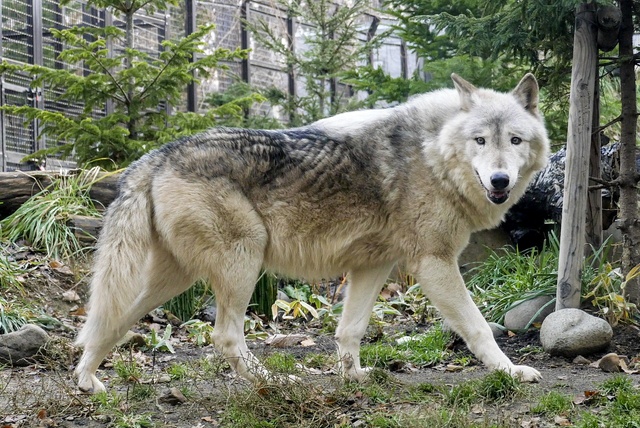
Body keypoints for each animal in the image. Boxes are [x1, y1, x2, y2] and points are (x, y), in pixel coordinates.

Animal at [75, 72, 548, 392]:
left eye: (515, 140)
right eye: (481, 140)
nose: (501, 180)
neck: (431, 152)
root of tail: (154, 156)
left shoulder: (373, 265)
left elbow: (350, 329)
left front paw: (355, 377)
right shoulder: (434, 263)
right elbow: (478, 327)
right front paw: (511, 372)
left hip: (171, 281)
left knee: (108, 322)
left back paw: (87, 382)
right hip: (243, 263)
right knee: (225, 337)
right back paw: (274, 381)